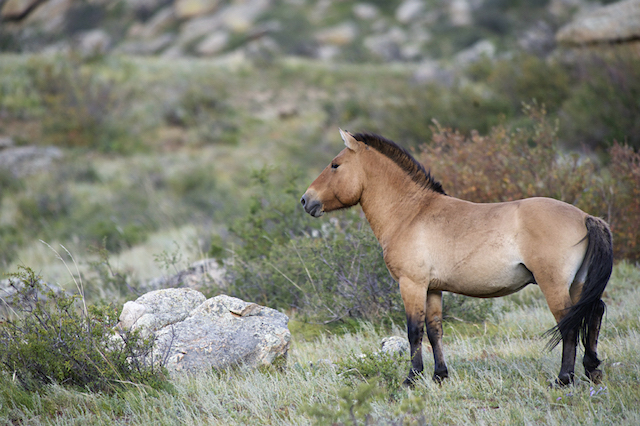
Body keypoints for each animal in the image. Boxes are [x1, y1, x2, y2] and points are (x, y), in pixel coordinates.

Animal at [302, 129, 612, 386]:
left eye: (335, 164)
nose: (306, 200)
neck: (411, 213)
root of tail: (586, 217)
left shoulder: (411, 285)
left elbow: (414, 331)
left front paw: (412, 378)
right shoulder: (432, 289)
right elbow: (434, 330)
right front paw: (440, 375)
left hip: (554, 286)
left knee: (570, 325)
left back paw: (563, 379)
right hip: (578, 284)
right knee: (593, 312)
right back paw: (591, 369)